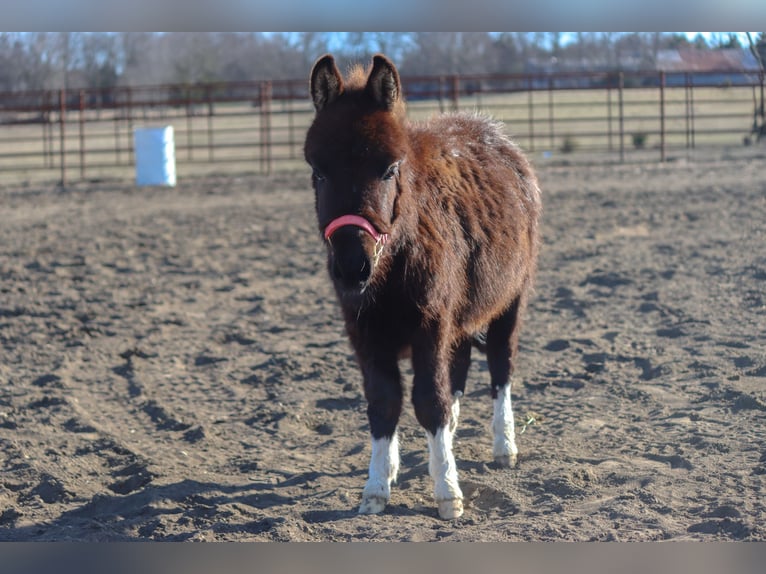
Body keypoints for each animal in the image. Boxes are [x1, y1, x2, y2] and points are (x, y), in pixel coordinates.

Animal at [304, 54, 544, 520]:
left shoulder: (430, 325)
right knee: (461, 367)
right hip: (462, 314)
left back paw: (503, 446)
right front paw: (377, 486)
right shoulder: (365, 332)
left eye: (389, 170)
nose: (352, 267)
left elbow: (429, 401)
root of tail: (495, 135)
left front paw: (447, 491)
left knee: (500, 367)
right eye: (319, 172)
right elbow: (384, 403)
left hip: (510, 300)